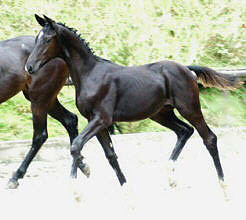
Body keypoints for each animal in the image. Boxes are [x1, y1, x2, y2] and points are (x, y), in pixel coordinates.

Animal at [0, 35, 90, 188]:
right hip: (47, 99)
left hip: (39, 99)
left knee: (40, 135)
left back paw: (15, 177)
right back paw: (77, 169)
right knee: (70, 120)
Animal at [26, 15, 241, 191]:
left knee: (209, 138)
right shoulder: (95, 121)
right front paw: (125, 187)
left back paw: (223, 182)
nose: (29, 67)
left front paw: (83, 173)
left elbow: (76, 145)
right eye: (36, 39)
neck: (90, 74)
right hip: (161, 113)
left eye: (47, 39)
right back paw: (170, 176)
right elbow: (110, 155)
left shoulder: (101, 119)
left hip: (189, 108)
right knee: (184, 131)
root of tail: (187, 69)